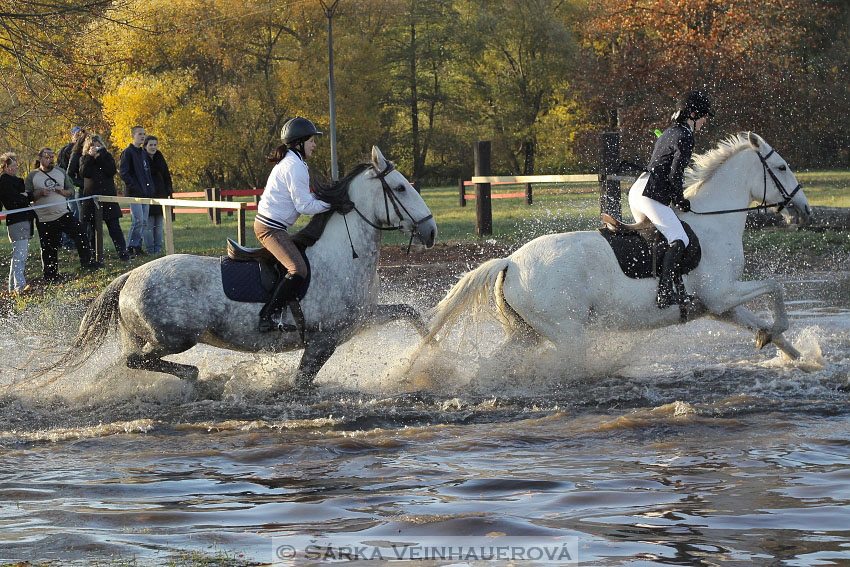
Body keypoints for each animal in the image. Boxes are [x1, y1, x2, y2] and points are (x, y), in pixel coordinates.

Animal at [61, 146, 438, 388]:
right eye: (401, 188)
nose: (432, 231)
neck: (343, 256)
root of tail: (128, 277)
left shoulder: (359, 320)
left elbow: (409, 312)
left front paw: (432, 348)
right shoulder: (323, 341)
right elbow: (300, 384)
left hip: (140, 337)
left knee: (123, 365)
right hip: (174, 337)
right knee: (140, 362)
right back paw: (199, 379)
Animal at [424, 132, 808, 364]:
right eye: (782, 167)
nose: (803, 209)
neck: (715, 221)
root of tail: (510, 263)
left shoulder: (718, 306)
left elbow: (767, 328)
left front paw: (799, 358)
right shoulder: (722, 294)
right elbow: (775, 286)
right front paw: (777, 330)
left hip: (525, 334)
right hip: (566, 333)